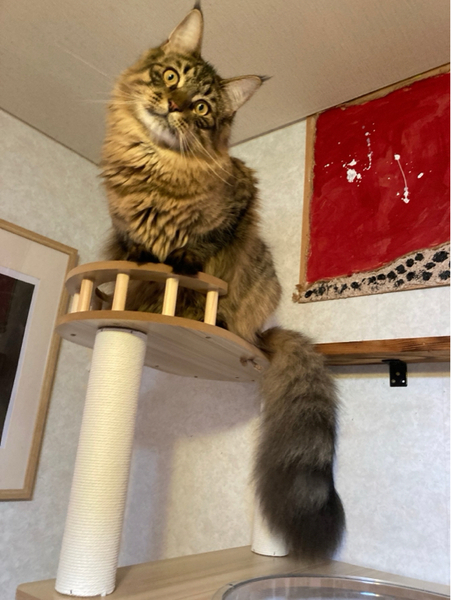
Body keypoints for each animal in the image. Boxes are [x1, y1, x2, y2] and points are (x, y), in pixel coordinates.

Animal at [101, 5, 345, 559]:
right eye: (171, 77)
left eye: (201, 107)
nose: (172, 104)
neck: (155, 165)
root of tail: (260, 336)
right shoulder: (125, 237)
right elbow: (138, 273)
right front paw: (132, 298)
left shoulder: (218, 229)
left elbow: (189, 281)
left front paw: (178, 310)